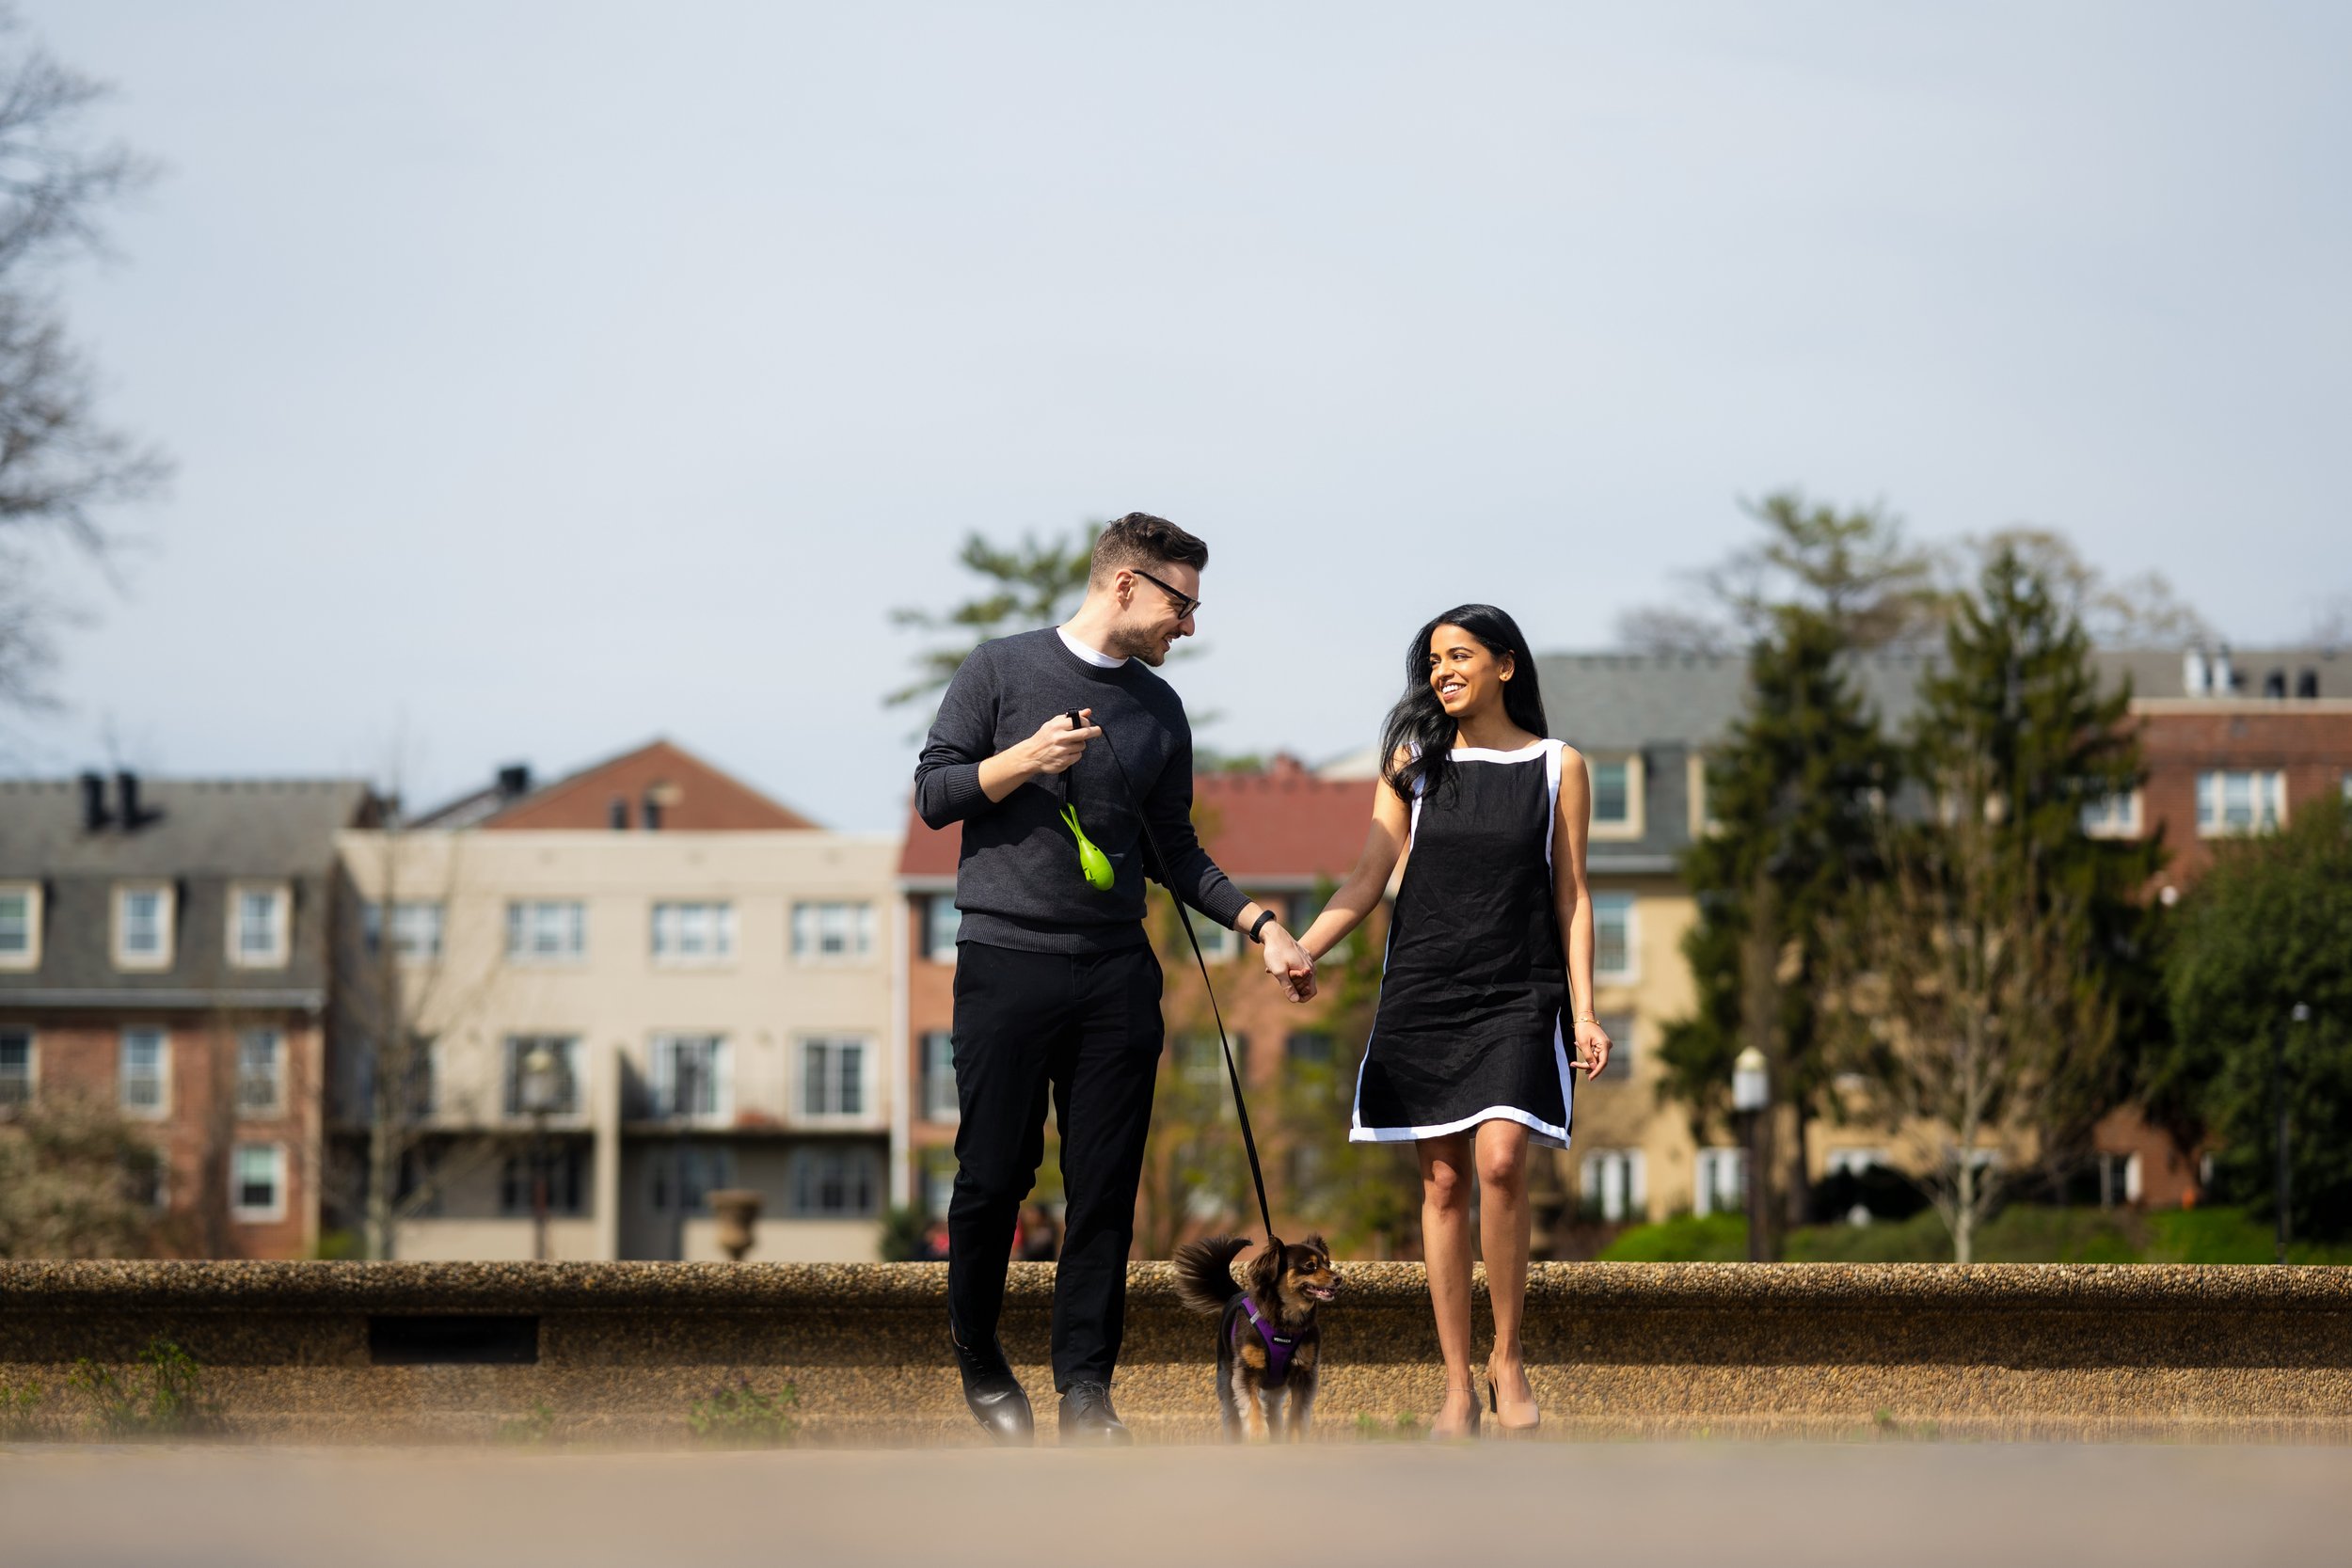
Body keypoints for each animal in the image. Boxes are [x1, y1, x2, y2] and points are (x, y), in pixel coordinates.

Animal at [1176, 1231, 1345, 1438]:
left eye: (1328, 1264)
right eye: (1309, 1266)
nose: (1339, 1278)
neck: (1286, 1321)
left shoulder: (1304, 1374)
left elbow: (1297, 1417)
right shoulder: (1247, 1371)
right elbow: (1254, 1409)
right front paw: (1258, 1438)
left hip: (1275, 1387)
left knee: (1272, 1410)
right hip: (1226, 1377)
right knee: (1232, 1413)